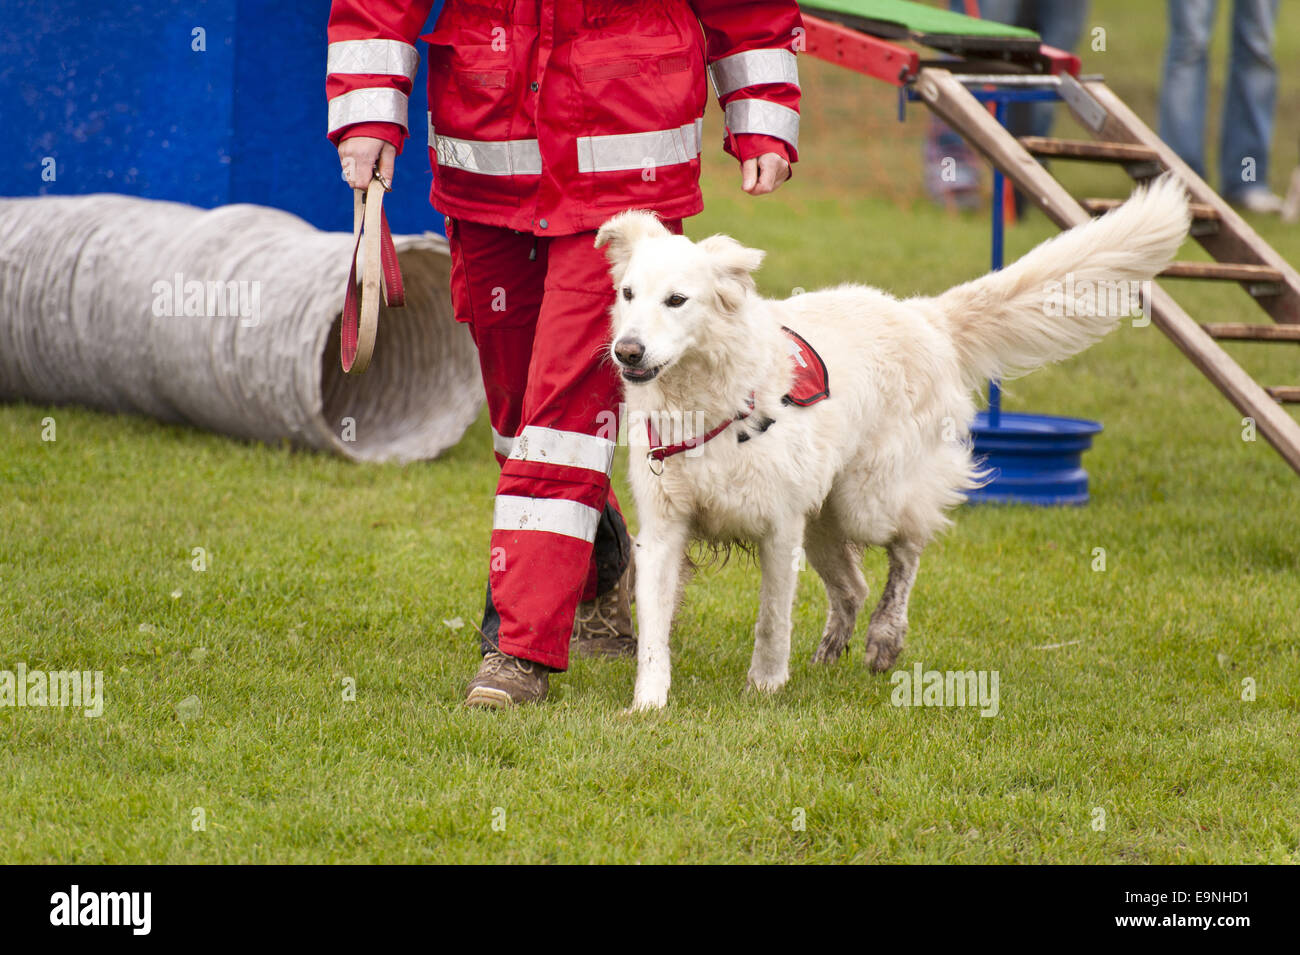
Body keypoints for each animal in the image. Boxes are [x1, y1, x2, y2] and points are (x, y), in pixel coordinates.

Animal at [595, 175, 1190, 712]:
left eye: (677, 300)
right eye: (628, 294)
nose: (626, 351)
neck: (709, 406)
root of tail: (924, 315)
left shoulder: (779, 530)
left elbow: (771, 620)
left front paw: (763, 687)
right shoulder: (665, 531)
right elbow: (655, 632)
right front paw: (648, 705)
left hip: (866, 503)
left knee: (908, 548)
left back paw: (885, 636)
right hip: (825, 517)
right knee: (853, 587)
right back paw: (831, 650)